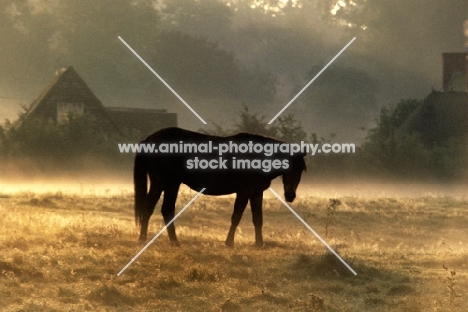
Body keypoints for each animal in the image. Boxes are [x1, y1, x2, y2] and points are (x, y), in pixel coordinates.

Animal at [133, 127, 306, 246]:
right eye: (288, 166)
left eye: (302, 169)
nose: (290, 195)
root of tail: (149, 139)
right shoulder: (244, 192)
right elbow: (236, 216)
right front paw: (229, 243)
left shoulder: (256, 193)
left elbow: (258, 219)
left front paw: (259, 244)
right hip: (171, 184)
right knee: (167, 210)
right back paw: (175, 242)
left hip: (158, 184)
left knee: (148, 208)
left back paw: (143, 239)